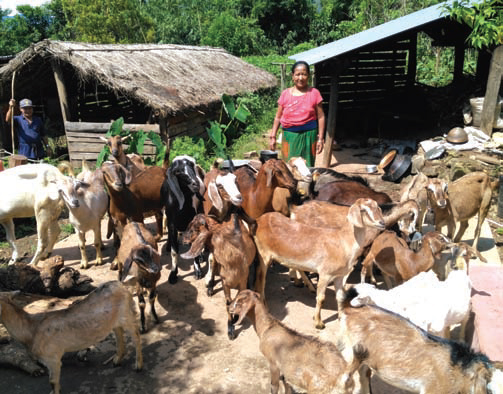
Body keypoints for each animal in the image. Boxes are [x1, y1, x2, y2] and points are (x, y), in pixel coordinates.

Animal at [228, 290, 366, 394]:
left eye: (239, 301)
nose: (229, 307)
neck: (268, 327)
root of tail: (344, 375)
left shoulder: (273, 363)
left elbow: (274, 386)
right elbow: (286, 384)